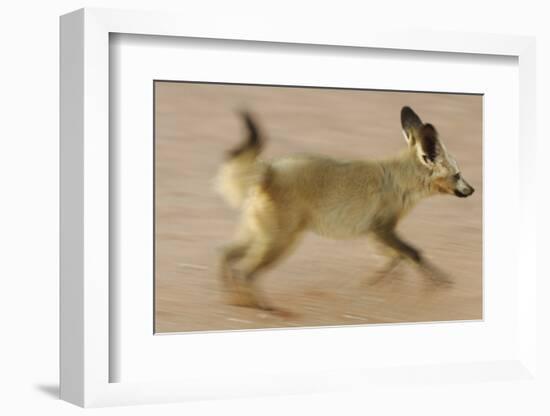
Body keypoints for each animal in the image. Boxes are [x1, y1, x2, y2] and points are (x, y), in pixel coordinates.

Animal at [218, 107, 476, 312]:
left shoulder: (376, 232)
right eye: (458, 175)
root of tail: (268, 171)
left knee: (226, 256)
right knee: (246, 272)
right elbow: (413, 253)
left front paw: (380, 282)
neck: (399, 179)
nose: (473, 190)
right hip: (280, 242)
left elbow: (396, 258)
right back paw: (260, 306)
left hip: (261, 237)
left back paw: (234, 299)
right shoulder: (382, 229)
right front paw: (437, 282)